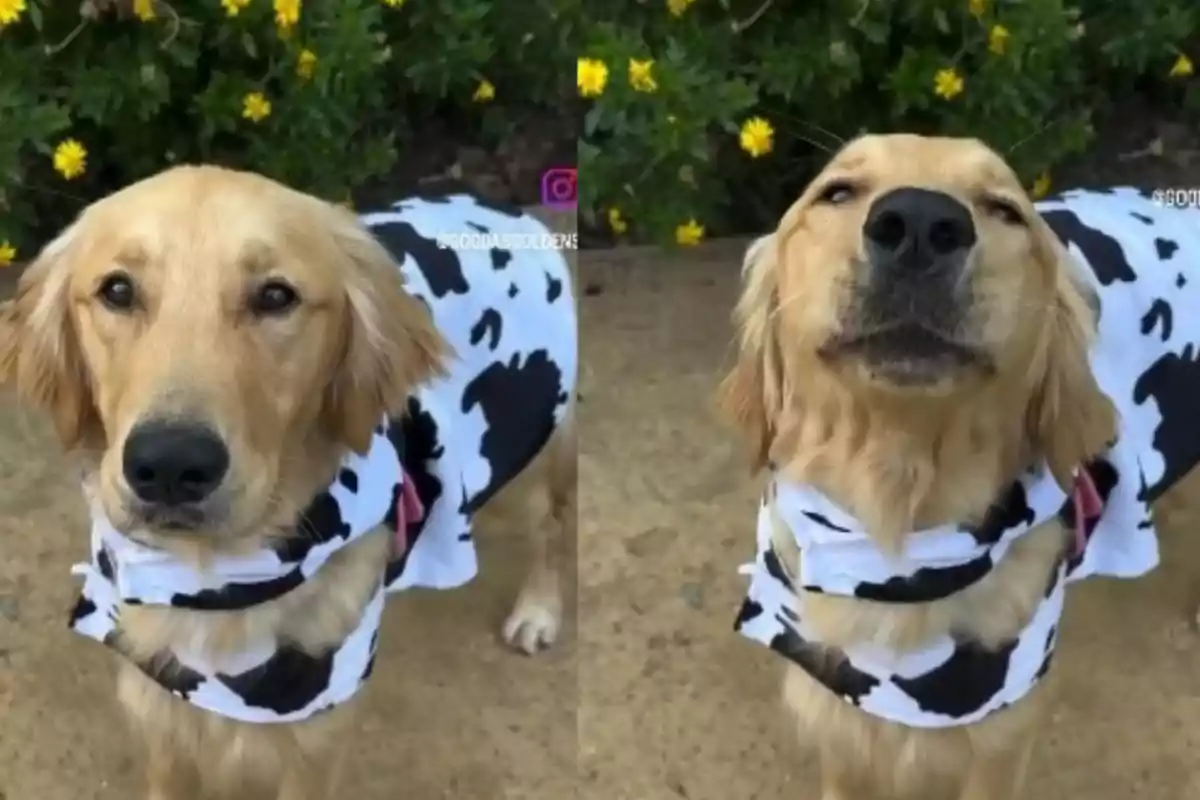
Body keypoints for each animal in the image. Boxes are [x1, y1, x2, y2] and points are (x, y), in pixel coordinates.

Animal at [0, 165, 576, 796]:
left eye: (276, 297)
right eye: (118, 291)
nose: (170, 466)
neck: (216, 582)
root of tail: (503, 209)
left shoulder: (313, 742)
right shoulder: (161, 716)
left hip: (535, 455)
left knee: (555, 525)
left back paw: (539, 611)